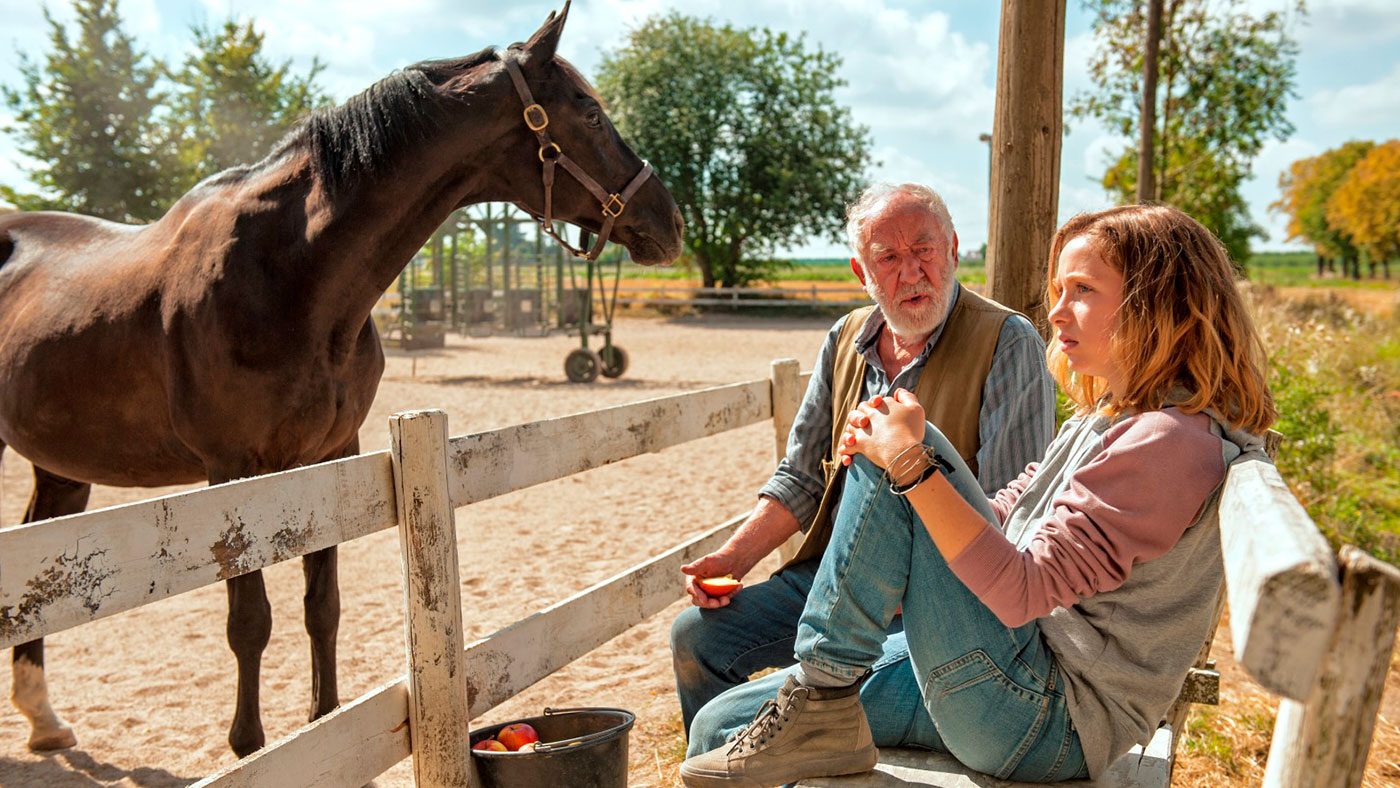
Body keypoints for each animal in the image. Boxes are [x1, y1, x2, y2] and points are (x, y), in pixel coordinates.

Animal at [0, 4, 683, 755]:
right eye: (589, 114)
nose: (670, 220)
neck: (291, 276)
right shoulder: (231, 474)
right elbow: (250, 622)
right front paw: (250, 746)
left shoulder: (331, 456)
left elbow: (321, 606)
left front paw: (323, 722)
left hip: (61, 466)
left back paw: (44, 719)